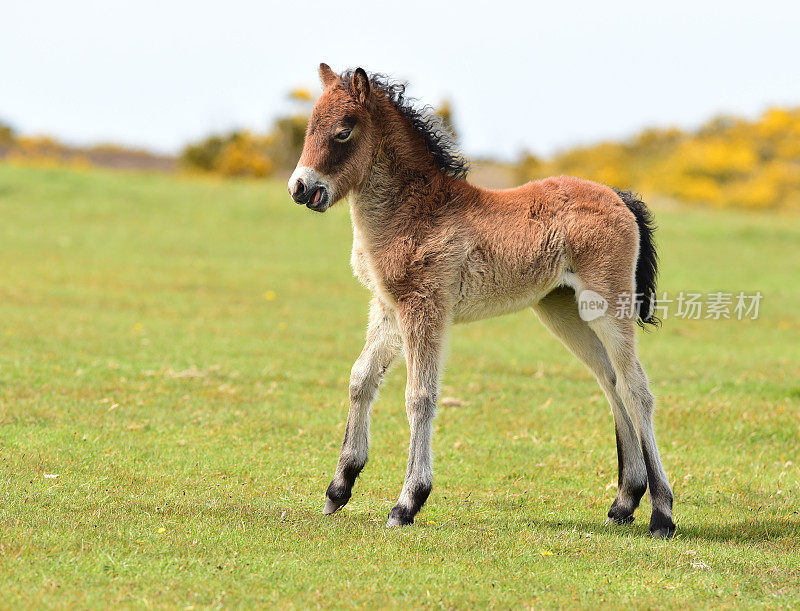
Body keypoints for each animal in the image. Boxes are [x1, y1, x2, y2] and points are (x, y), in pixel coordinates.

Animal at [288, 63, 676, 540]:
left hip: (608, 305)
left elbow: (419, 396)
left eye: (343, 132)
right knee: (611, 382)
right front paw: (339, 488)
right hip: (564, 311)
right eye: (310, 125)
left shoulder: (424, 308)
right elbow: (361, 379)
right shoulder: (388, 308)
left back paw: (662, 513)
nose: (300, 188)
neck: (416, 210)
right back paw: (624, 502)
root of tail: (618, 195)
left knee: (637, 389)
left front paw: (407, 502)